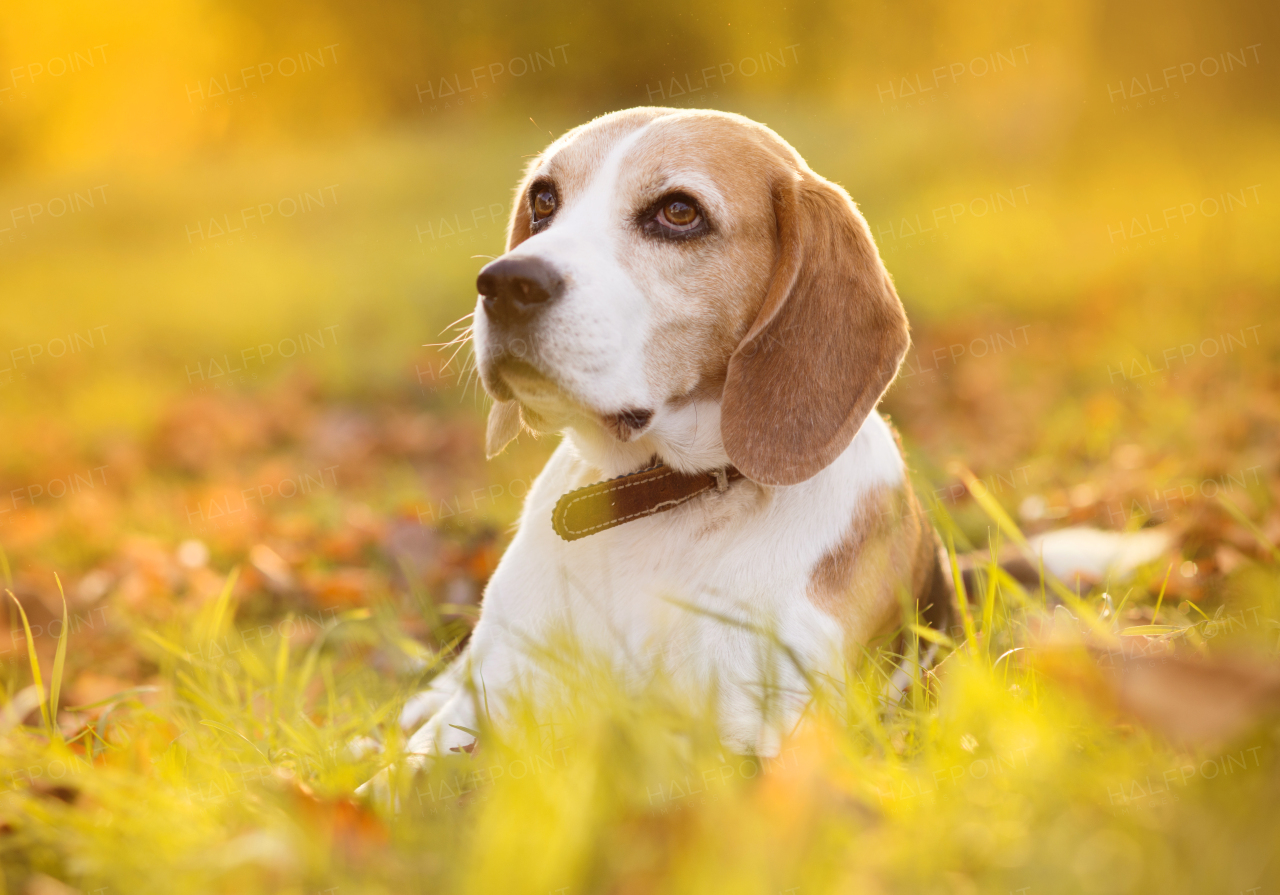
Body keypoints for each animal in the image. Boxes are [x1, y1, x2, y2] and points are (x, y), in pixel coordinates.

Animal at [399, 108, 952, 757]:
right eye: (543, 199)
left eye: (679, 212)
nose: (506, 282)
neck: (654, 500)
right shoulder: (487, 709)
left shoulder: (764, 740)